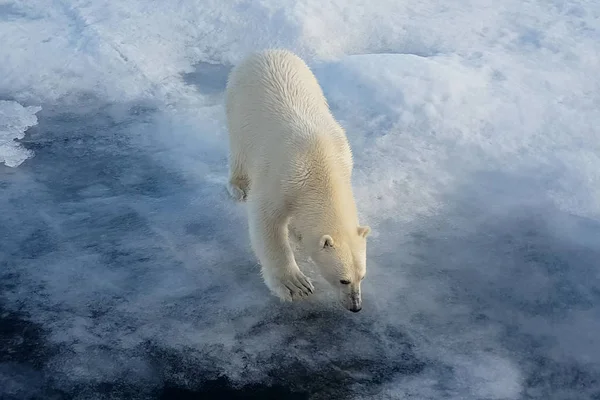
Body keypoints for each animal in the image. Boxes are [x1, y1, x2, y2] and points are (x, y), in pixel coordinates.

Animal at [223, 49, 368, 312]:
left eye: (362, 276)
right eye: (343, 279)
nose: (356, 306)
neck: (319, 161)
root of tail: (263, 52)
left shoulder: (344, 157)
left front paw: (297, 232)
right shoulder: (281, 177)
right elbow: (266, 222)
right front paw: (295, 285)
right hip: (239, 106)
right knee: (238, 149)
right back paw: (238, 186)